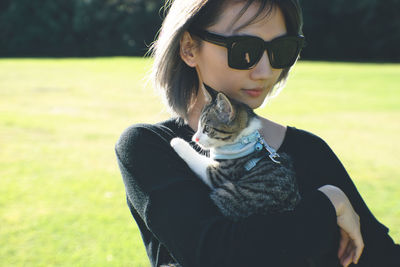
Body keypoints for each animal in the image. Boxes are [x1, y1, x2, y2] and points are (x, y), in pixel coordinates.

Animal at [171, 87, 300, 221]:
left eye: (207, 128)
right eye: (199, 126)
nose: (195, 138)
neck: (243, 139)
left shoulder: (221, 174)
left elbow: (200, 162)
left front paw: (177, 141)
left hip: (228, 195)